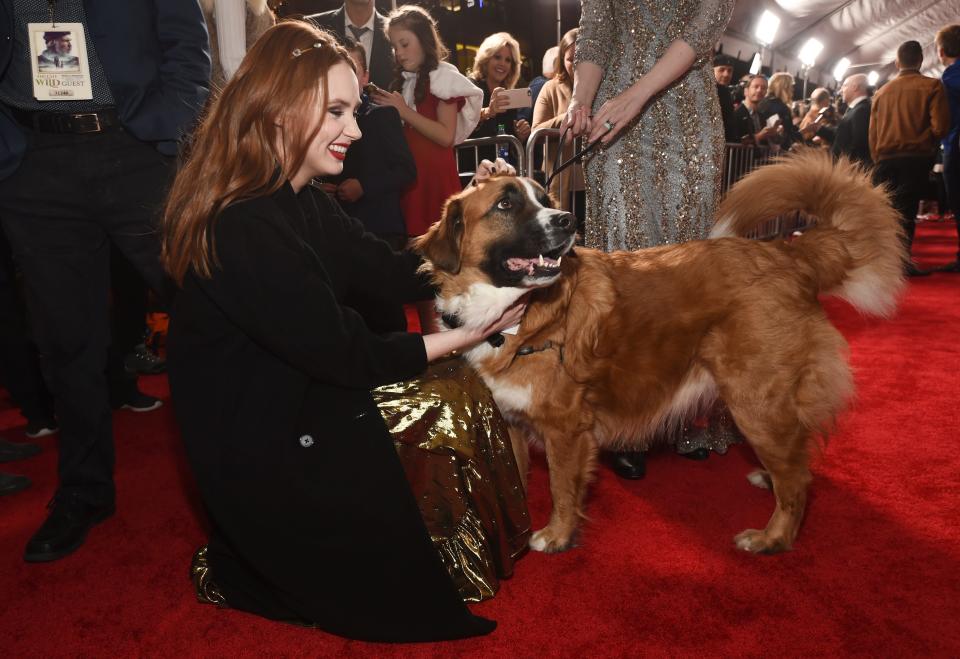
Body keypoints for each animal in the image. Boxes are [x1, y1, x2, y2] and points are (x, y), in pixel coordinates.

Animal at [414, 152, 908, 556]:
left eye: (544, 198)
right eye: (506, 205)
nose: (567, 221)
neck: (519, 314)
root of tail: (789, 255)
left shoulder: (566, 429)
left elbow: (560, 486)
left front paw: (556, 535)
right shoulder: (513, 421)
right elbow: (517, 479)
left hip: (757, 401)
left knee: (797, 478)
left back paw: (773, 538)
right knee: (795, 459)